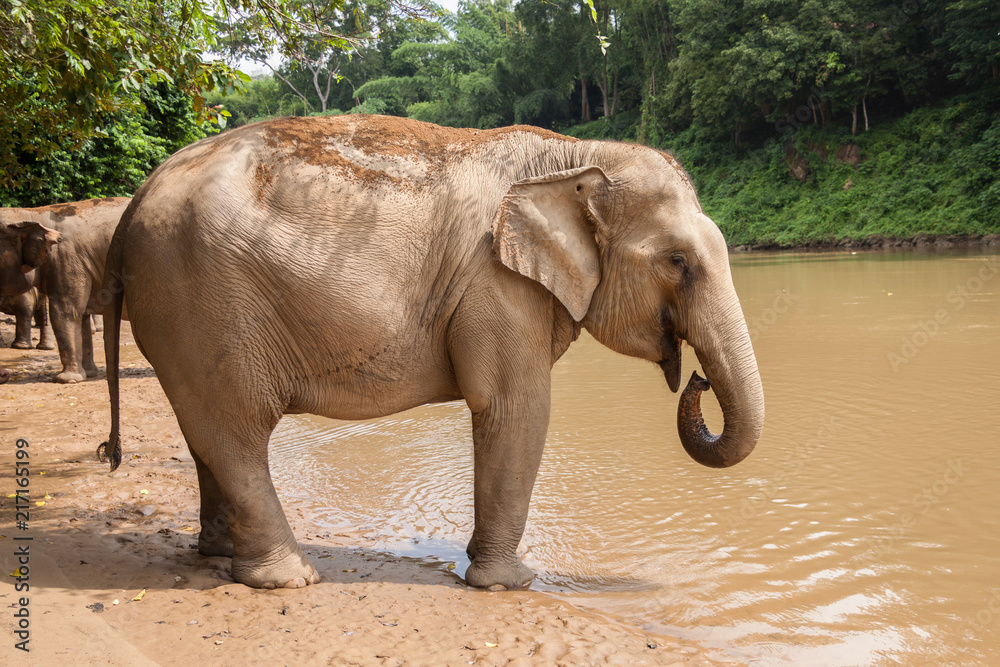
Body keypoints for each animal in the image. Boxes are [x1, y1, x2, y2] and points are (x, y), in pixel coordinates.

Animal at [0, 197, 131, 380]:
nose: (5, 374)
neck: (31, 213)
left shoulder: (67, 259)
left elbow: (65, 311)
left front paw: (66, 380)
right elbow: (81, 315)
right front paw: (89, 373)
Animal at [99, 113, 764, 588]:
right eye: (677, 262)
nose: (698, 380)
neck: (574, 153)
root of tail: (132, 205)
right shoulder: (495, 285)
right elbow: (514, 409)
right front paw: (510, 584)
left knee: (206, 432)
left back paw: (217, 554)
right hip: (200, 305)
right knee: (234, 434)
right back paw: (289, 579)